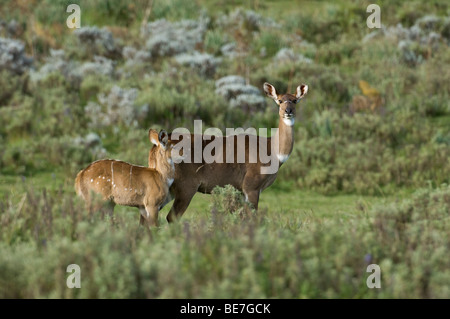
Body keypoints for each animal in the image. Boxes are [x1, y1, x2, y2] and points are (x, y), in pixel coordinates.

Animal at [149, 82, 308, 222]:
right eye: (279, 100)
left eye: (295, 100)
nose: (288, 111)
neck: (272, 151)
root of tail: (157, 144)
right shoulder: (251, 186)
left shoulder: (242, 190)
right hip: (186, 186)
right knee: (170, 217)